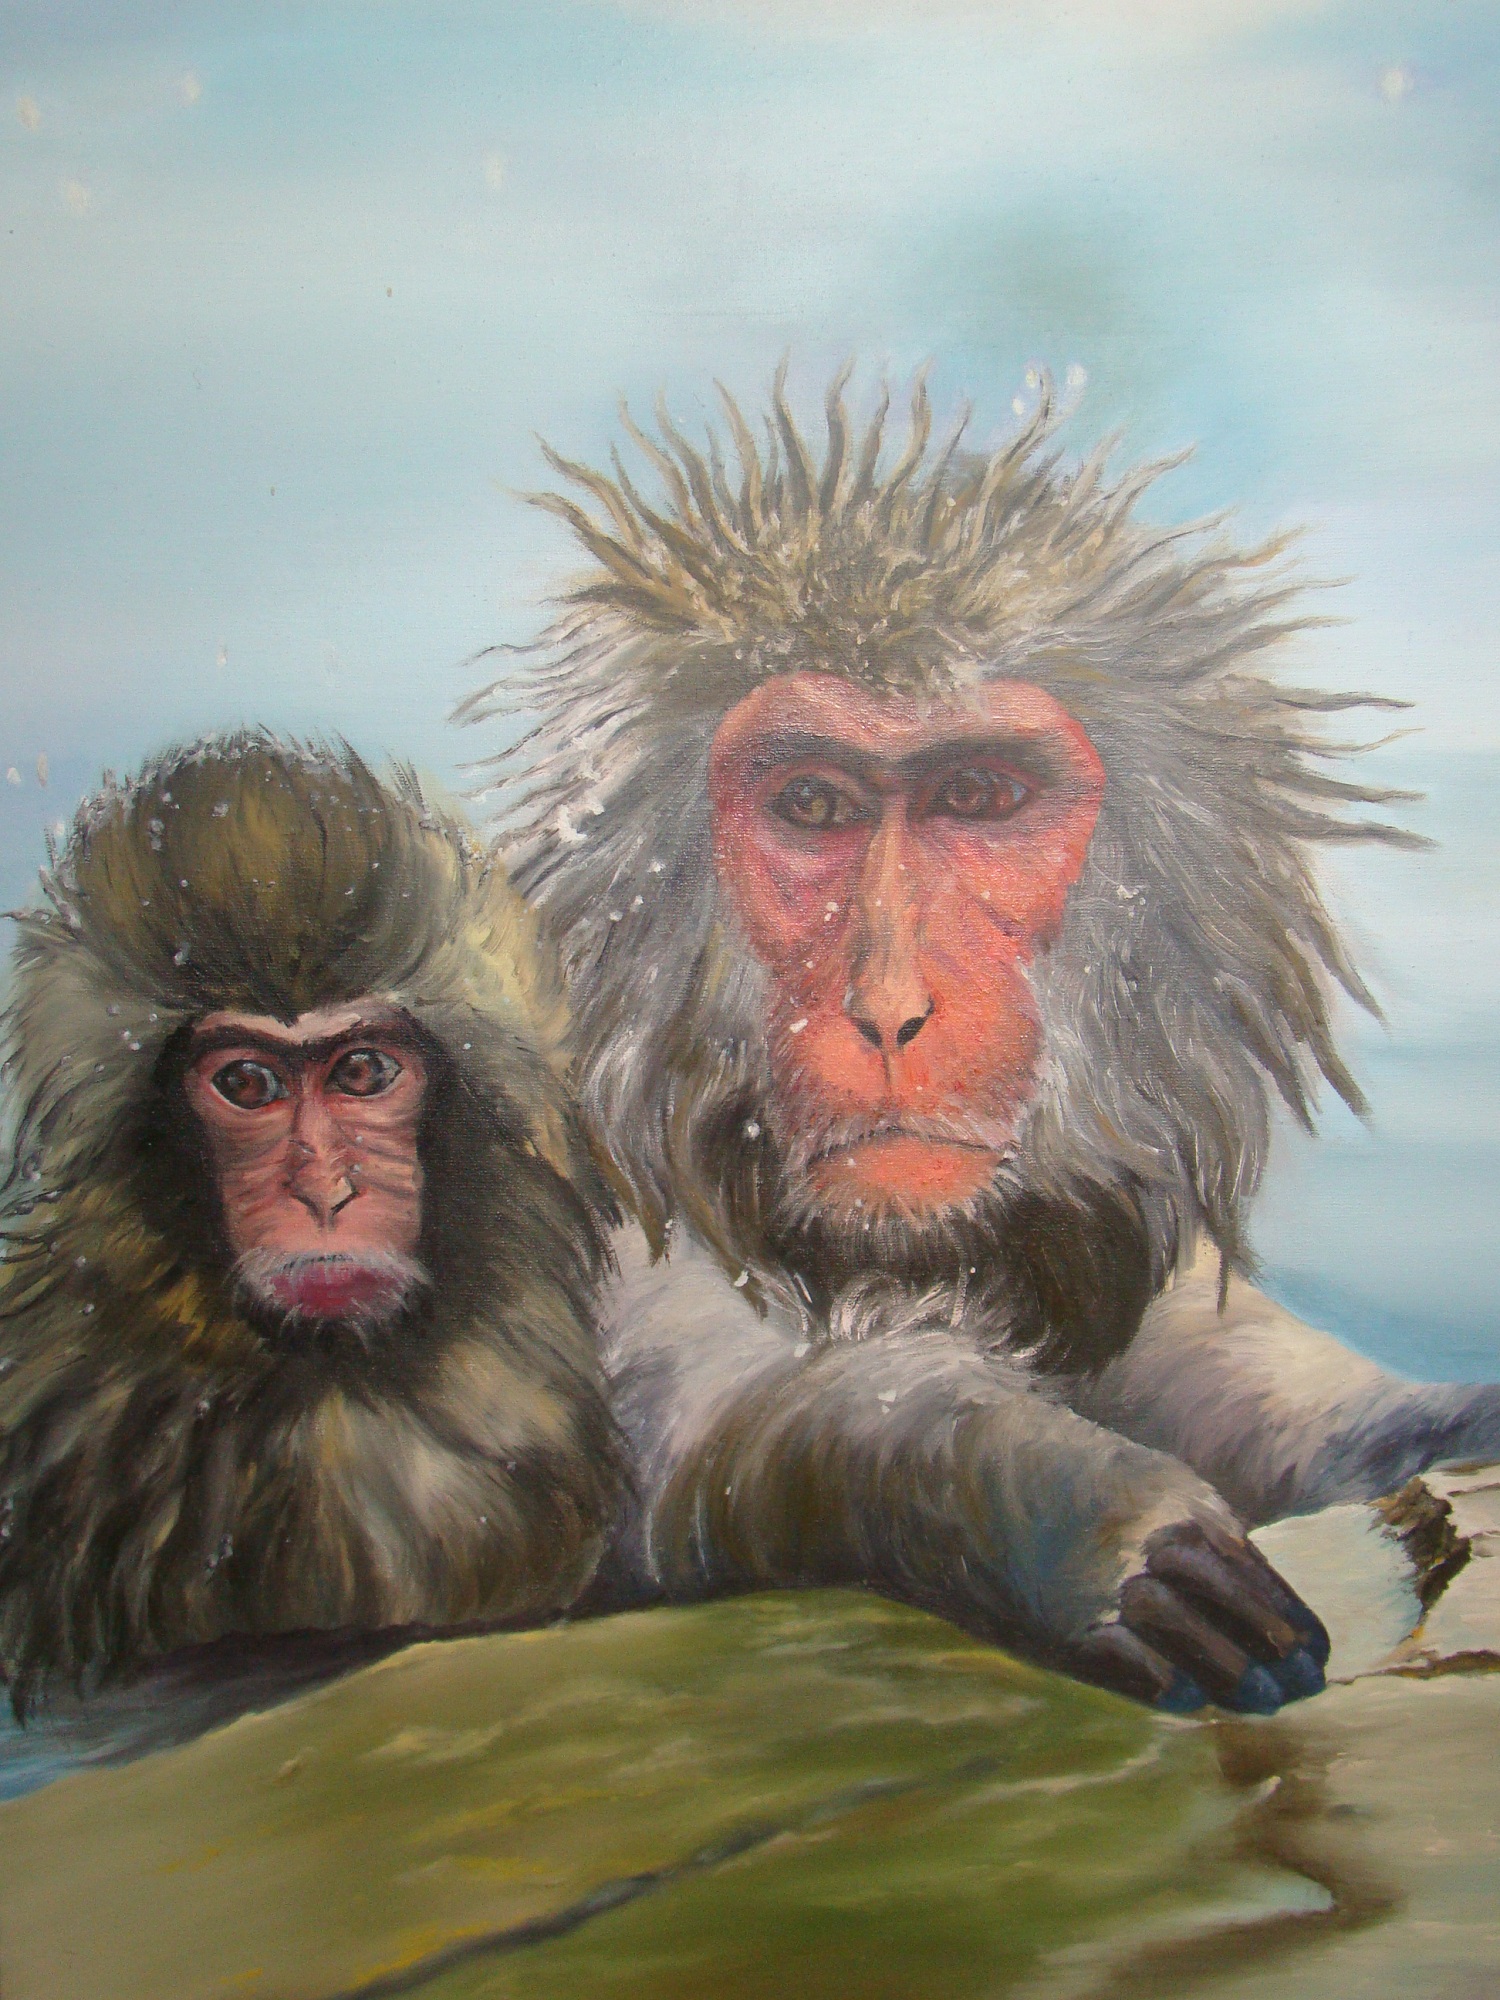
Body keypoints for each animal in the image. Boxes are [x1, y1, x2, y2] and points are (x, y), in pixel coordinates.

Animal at [464, 366, 1500, 1716]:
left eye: (979, 795)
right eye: (813, 804)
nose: (891, 1007)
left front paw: (1454, 1417)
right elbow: (717, 1449)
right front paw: (1066, 1511)